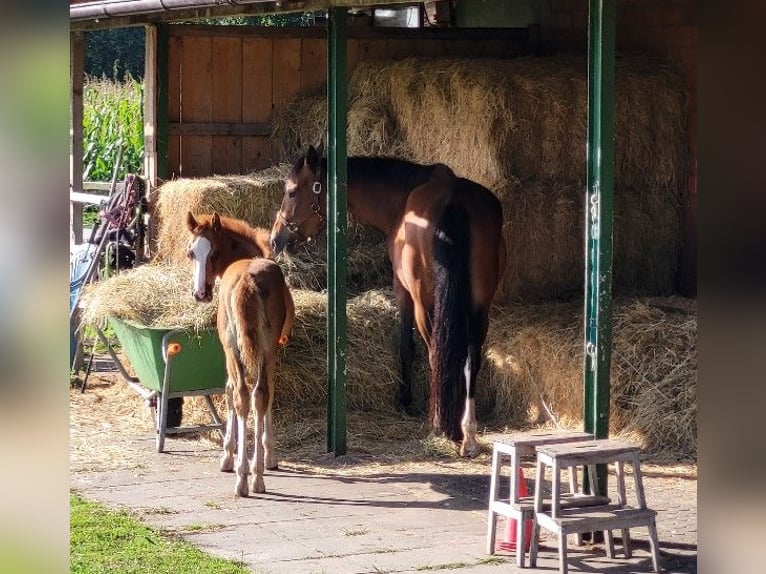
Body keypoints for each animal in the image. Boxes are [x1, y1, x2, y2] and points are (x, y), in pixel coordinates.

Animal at [185, 214, 294, 498]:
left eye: (214, 252)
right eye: (191, 253)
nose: (200, 293)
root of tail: (248, 280)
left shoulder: (229, 349)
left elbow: (228, 389)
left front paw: (229, 455)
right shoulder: (267, 350)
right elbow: (266, 393)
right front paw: (265, 459)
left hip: (239, 346)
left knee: (243, 395)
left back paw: (244, 476)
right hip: (263, 347)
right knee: (259, 394)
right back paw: (255, 476)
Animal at [272, 145, 508, 460]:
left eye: (292, 191)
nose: (275, 238)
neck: (404, 194)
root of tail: (453, 201)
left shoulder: (403, 291)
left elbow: (406, 346)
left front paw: (405, 399)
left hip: (424, 301)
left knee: (435, 352)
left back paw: (440, 424)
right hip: (481, 304)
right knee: (471, 358)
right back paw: (467, 433)